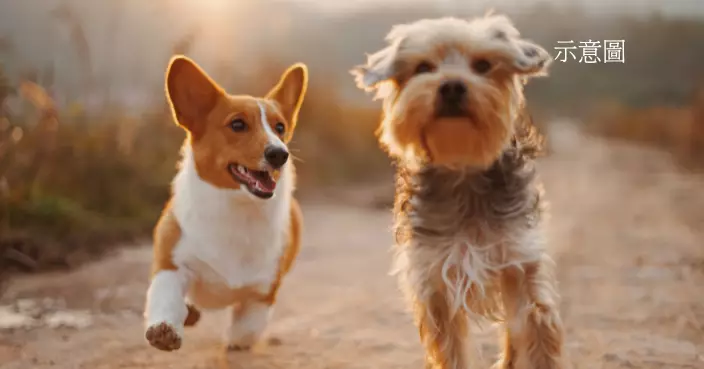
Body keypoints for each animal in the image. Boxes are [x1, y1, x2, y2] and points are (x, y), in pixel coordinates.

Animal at [144, 55, 306, 350]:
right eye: (238, 125)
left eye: (280, 128)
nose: (280, 154)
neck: (237, 208)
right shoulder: (172, 264)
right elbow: (166, 296)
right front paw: (165, 329)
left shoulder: (264, 291)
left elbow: (248, 327)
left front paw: (236, 340)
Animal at [350, 13, 568, 368]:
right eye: (423, 67)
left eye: (483, 65)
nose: (451, 85)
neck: (462, 167)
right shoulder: (435, 277)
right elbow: (450, 346)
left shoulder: (520, 260)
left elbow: (535, 327)